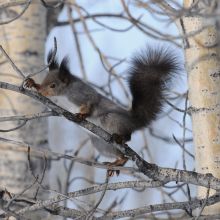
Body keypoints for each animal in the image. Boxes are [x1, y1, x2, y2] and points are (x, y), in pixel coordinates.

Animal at [24, 45, 180, 176]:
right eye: (44, 80)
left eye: (53, 85)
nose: (42, 91)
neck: (64, 95)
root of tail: (134, 120)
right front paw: (33, 84)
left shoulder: (83, 95)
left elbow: (90, 105)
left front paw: (82, 115)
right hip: (102, 145)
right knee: (123, 157)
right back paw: (116, 163)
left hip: (112, 119)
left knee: (128, 136)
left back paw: (121, 138)